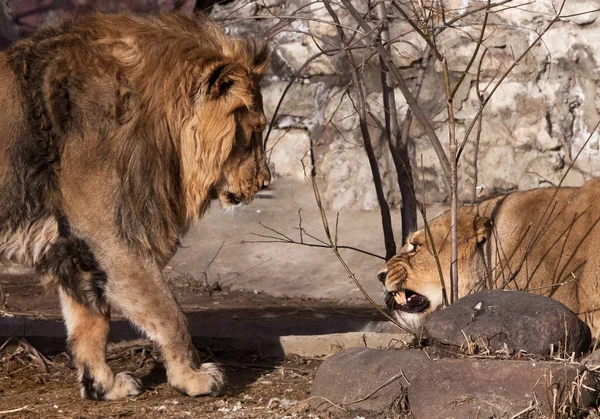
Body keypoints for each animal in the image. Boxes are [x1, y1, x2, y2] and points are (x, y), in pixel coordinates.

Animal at [0, 12, 270, 400]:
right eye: (255, 131)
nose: (265, 182)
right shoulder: (112, 238)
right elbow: (169, 312)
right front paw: (193, 377)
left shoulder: (74, 247)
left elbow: (91, 323)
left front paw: (103, 385)